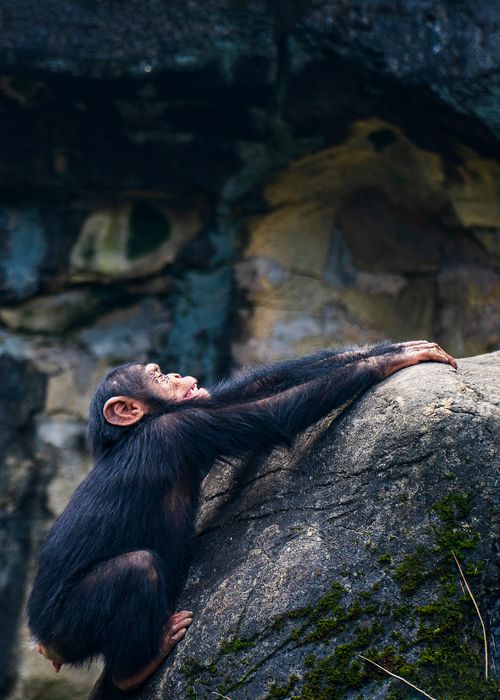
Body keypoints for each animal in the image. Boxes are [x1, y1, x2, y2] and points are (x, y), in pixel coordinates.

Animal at [27, 340, 457, 690]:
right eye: (159, 377)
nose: (177, 374)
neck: (134, 432)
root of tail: (43, 644)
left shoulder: (198, 407)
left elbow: (252, 387)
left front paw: (390, 347)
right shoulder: (181, 426)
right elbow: (269, 414)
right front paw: (387, 361)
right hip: (69, 624)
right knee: (136, 568)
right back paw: (136, 668)